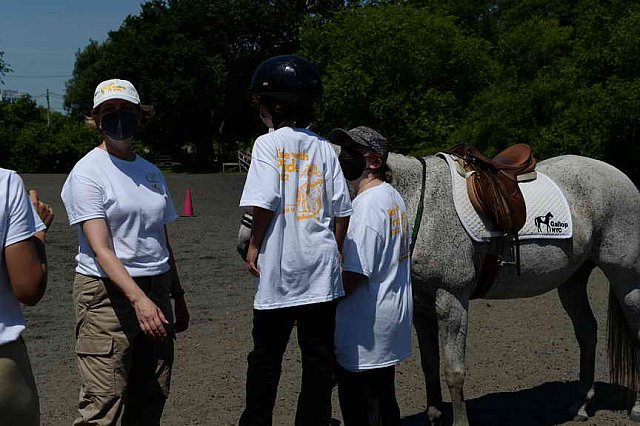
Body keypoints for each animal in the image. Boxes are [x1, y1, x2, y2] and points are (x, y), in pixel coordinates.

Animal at [388, 152, 640, 422]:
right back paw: (581, 405)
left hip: (627, 280)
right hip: (573, 282)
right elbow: (429, 364)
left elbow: (453, 370)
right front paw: (434, 415)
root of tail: (621, 177)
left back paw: (635, 407)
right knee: (587, 332)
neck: (422, 205)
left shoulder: (452, 299)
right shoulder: (421, 305)